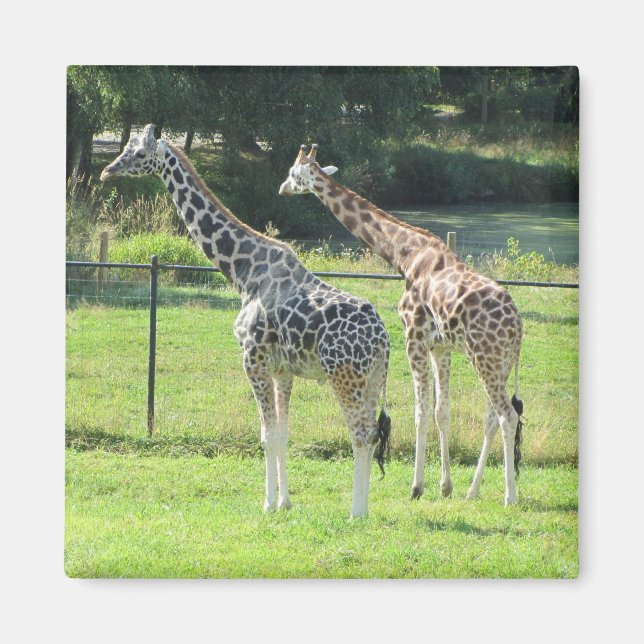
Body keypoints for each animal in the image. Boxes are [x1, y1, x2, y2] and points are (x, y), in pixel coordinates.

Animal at [101, 126, 391, 518]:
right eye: (127, 148)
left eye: (140, 154)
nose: (107, 172)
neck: (243, 272)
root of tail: (383, 339)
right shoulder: (282, 369)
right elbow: (282, 434)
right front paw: (284, 502)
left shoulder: (252, 358)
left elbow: (266, 435)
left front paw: (267, 504)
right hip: (372, 378)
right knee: (372, 434)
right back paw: (363, 508)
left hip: (345, 375)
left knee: (361, 434)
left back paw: (356, 512)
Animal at [279, 144, 524, 506]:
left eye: (293, 173)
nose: (281, 188)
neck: (405, 256)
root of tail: (517, 327)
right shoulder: (441, 346)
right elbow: (441, 412)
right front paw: (445, 486)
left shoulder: (414, 336)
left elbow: (420, 412)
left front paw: (417, 487)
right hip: (500, 362)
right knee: (493, 416)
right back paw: (472, 491)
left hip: (485, 358)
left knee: (508, 415)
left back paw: (510, 496)